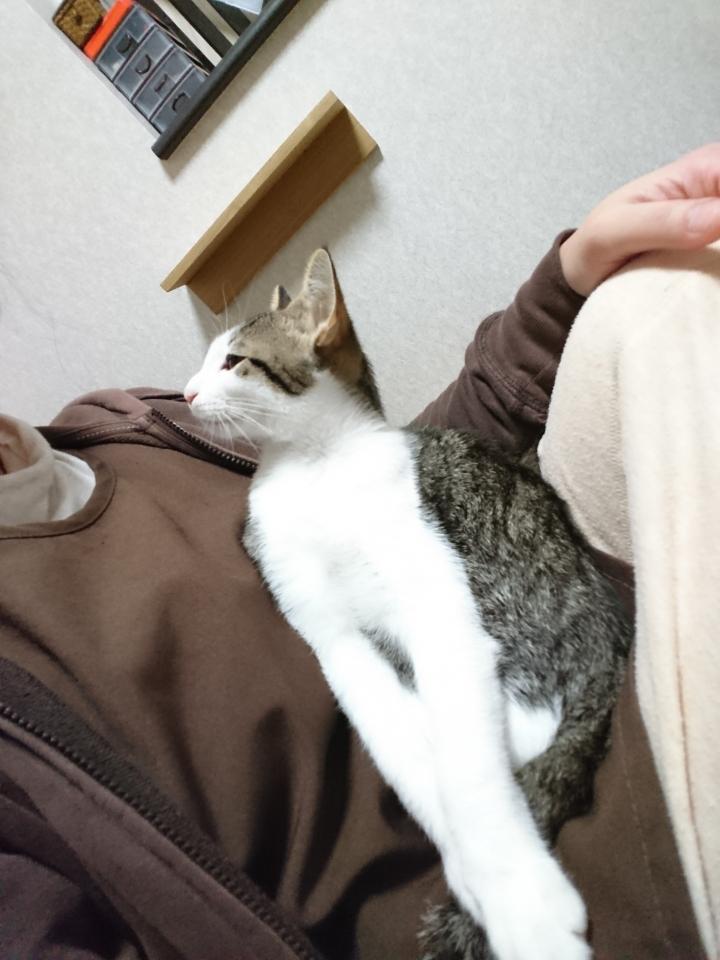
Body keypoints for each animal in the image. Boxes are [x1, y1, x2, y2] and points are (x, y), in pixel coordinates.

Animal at [184, 249, 631, 960]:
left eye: (233, 362)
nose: (185, 393)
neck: (315, 468)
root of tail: (608, 647)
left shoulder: (439, 605)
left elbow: (467, 767)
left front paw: (521, 907)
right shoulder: (327, 634)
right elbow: (407, 755)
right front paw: (482, 882)